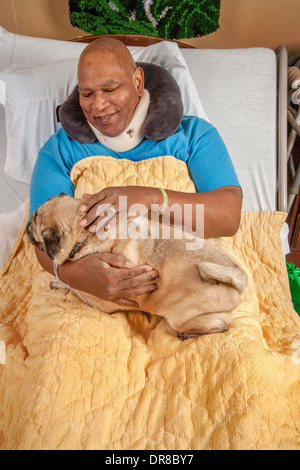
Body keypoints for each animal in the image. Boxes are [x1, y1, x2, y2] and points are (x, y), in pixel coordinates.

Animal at [27, 193, 247, 340]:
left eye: (33, 222)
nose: (27, 227)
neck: (86, 232)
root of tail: (237, 280)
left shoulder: (100, 301)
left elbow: (75, 287)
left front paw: (59, 281)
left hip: (184, 318)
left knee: (220, 327)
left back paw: (186, 334)